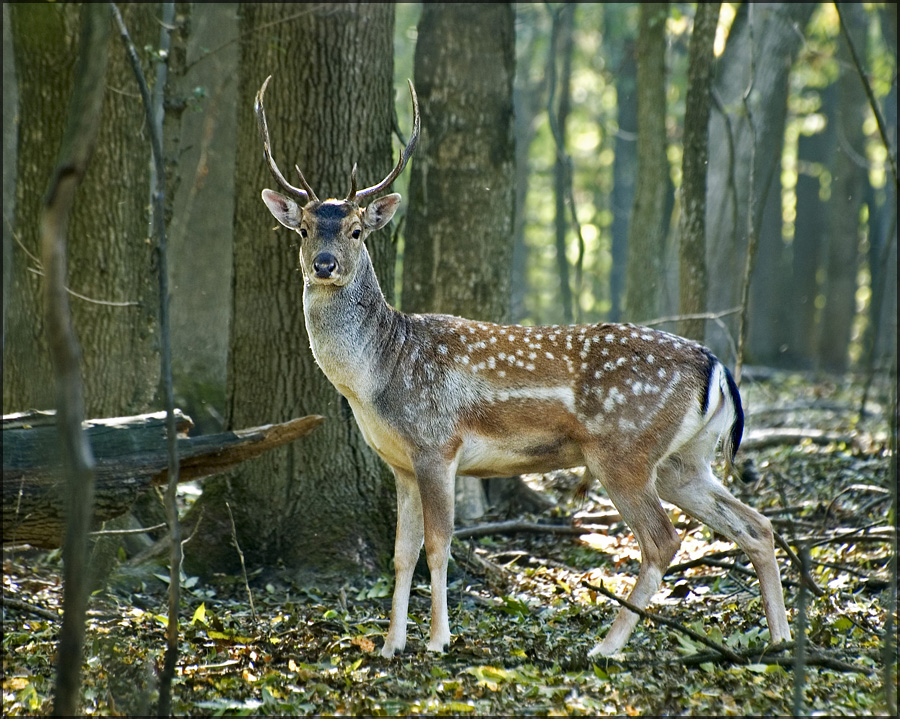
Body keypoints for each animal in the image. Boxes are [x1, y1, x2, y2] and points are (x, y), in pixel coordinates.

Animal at [251, 77, 788, 660]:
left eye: (354, 230)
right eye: (304, 229)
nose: (324, 264)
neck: (378, 375)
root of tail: (717, 367)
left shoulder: (436, 444)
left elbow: (438, 546)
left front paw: (437, 641)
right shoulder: (399, 463)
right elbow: (401, 553)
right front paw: (391, 646)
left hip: (624, 449)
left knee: (663, 540)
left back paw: (606, 647)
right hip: (684, 460)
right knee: (757, 525)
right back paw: (778, 640)